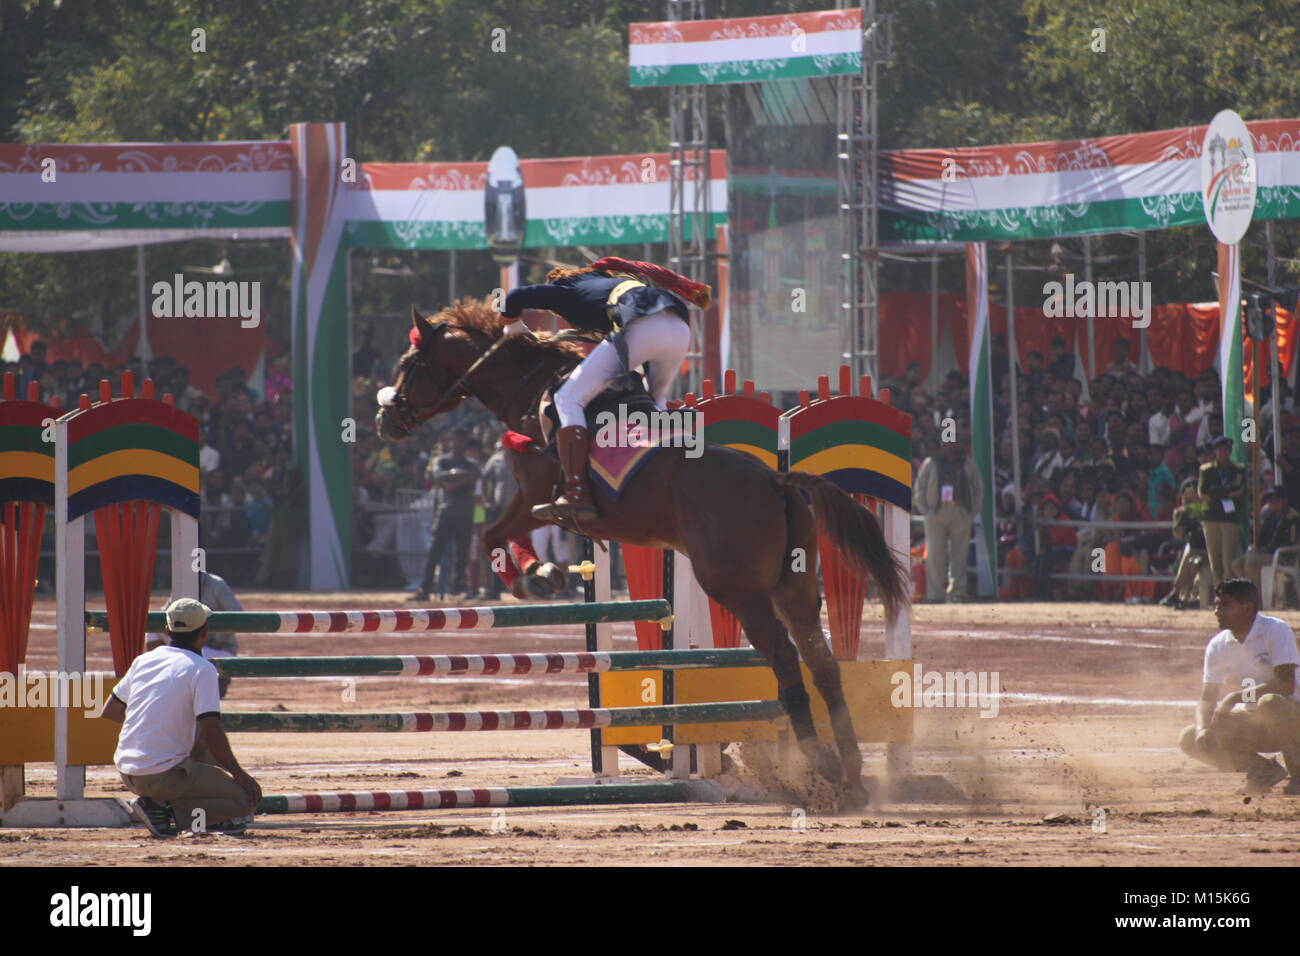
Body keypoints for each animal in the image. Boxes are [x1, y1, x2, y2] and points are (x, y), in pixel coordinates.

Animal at [371, 299, 909, 806]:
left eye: (409, 362)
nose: (384, 418)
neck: (532, 388)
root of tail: (775, 479)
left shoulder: (538, 496)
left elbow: (491, 538)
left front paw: (531, 577)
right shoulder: (534, 501)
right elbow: (498, 536)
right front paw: (541, 572)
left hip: (738, 591)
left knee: (784, 657)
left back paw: (823, 763)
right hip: (792, 588)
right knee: (823, 665)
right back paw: (854, 776)